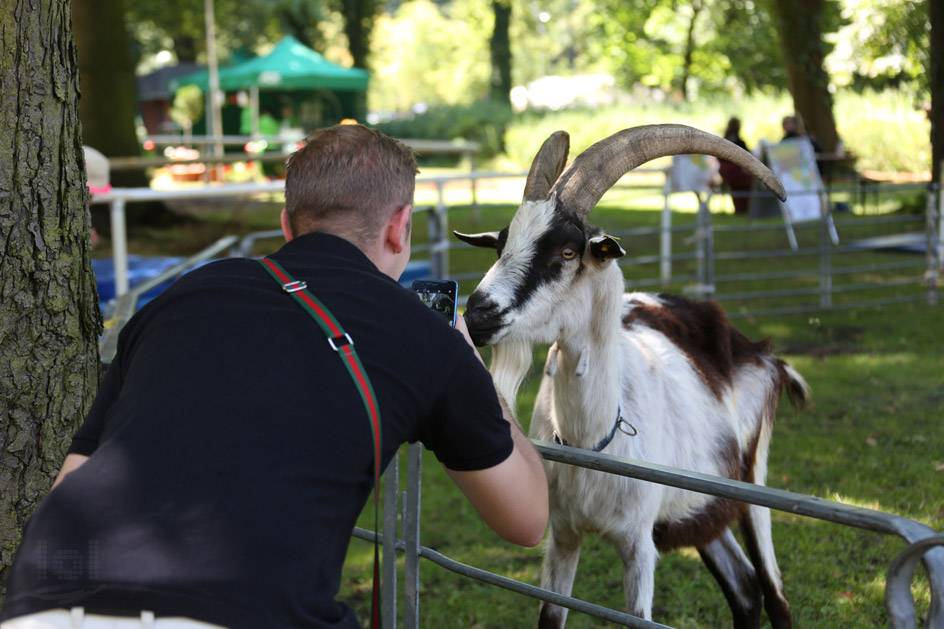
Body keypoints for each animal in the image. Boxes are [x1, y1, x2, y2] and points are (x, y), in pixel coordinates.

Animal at [454, 125, 808, 624]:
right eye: (502, 244)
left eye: (568, 251)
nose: (478, 313)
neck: (593, 441)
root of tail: (760, 352)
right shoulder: (562, 536)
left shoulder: (638, 543)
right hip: (698, 502)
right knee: (743, 587)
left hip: (754, 483)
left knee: (774, 591)